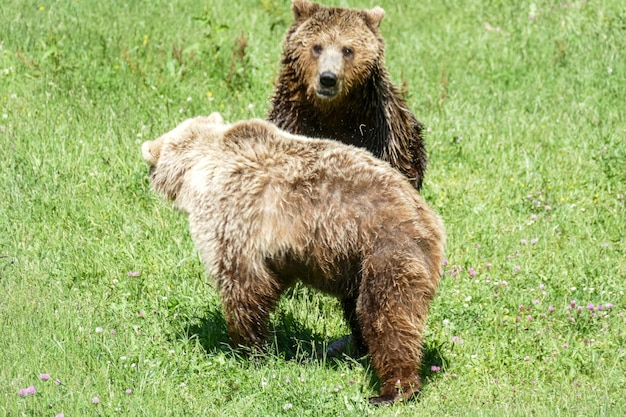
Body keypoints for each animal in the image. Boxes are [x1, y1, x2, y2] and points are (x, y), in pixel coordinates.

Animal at [141, 113, 444, 404]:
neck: (201, 169)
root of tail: (430, 221)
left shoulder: (236, 219)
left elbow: (243, 286)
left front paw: (246, 349)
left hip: (386, 250)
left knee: (388, 316)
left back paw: (392, 390)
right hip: (359, 261)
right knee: (360, 309)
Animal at [266, 0, 426, 190]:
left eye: (348, 50)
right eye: (317, 47)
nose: (328, 78)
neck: (332, 110)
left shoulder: (376, 132)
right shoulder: (293, 119)